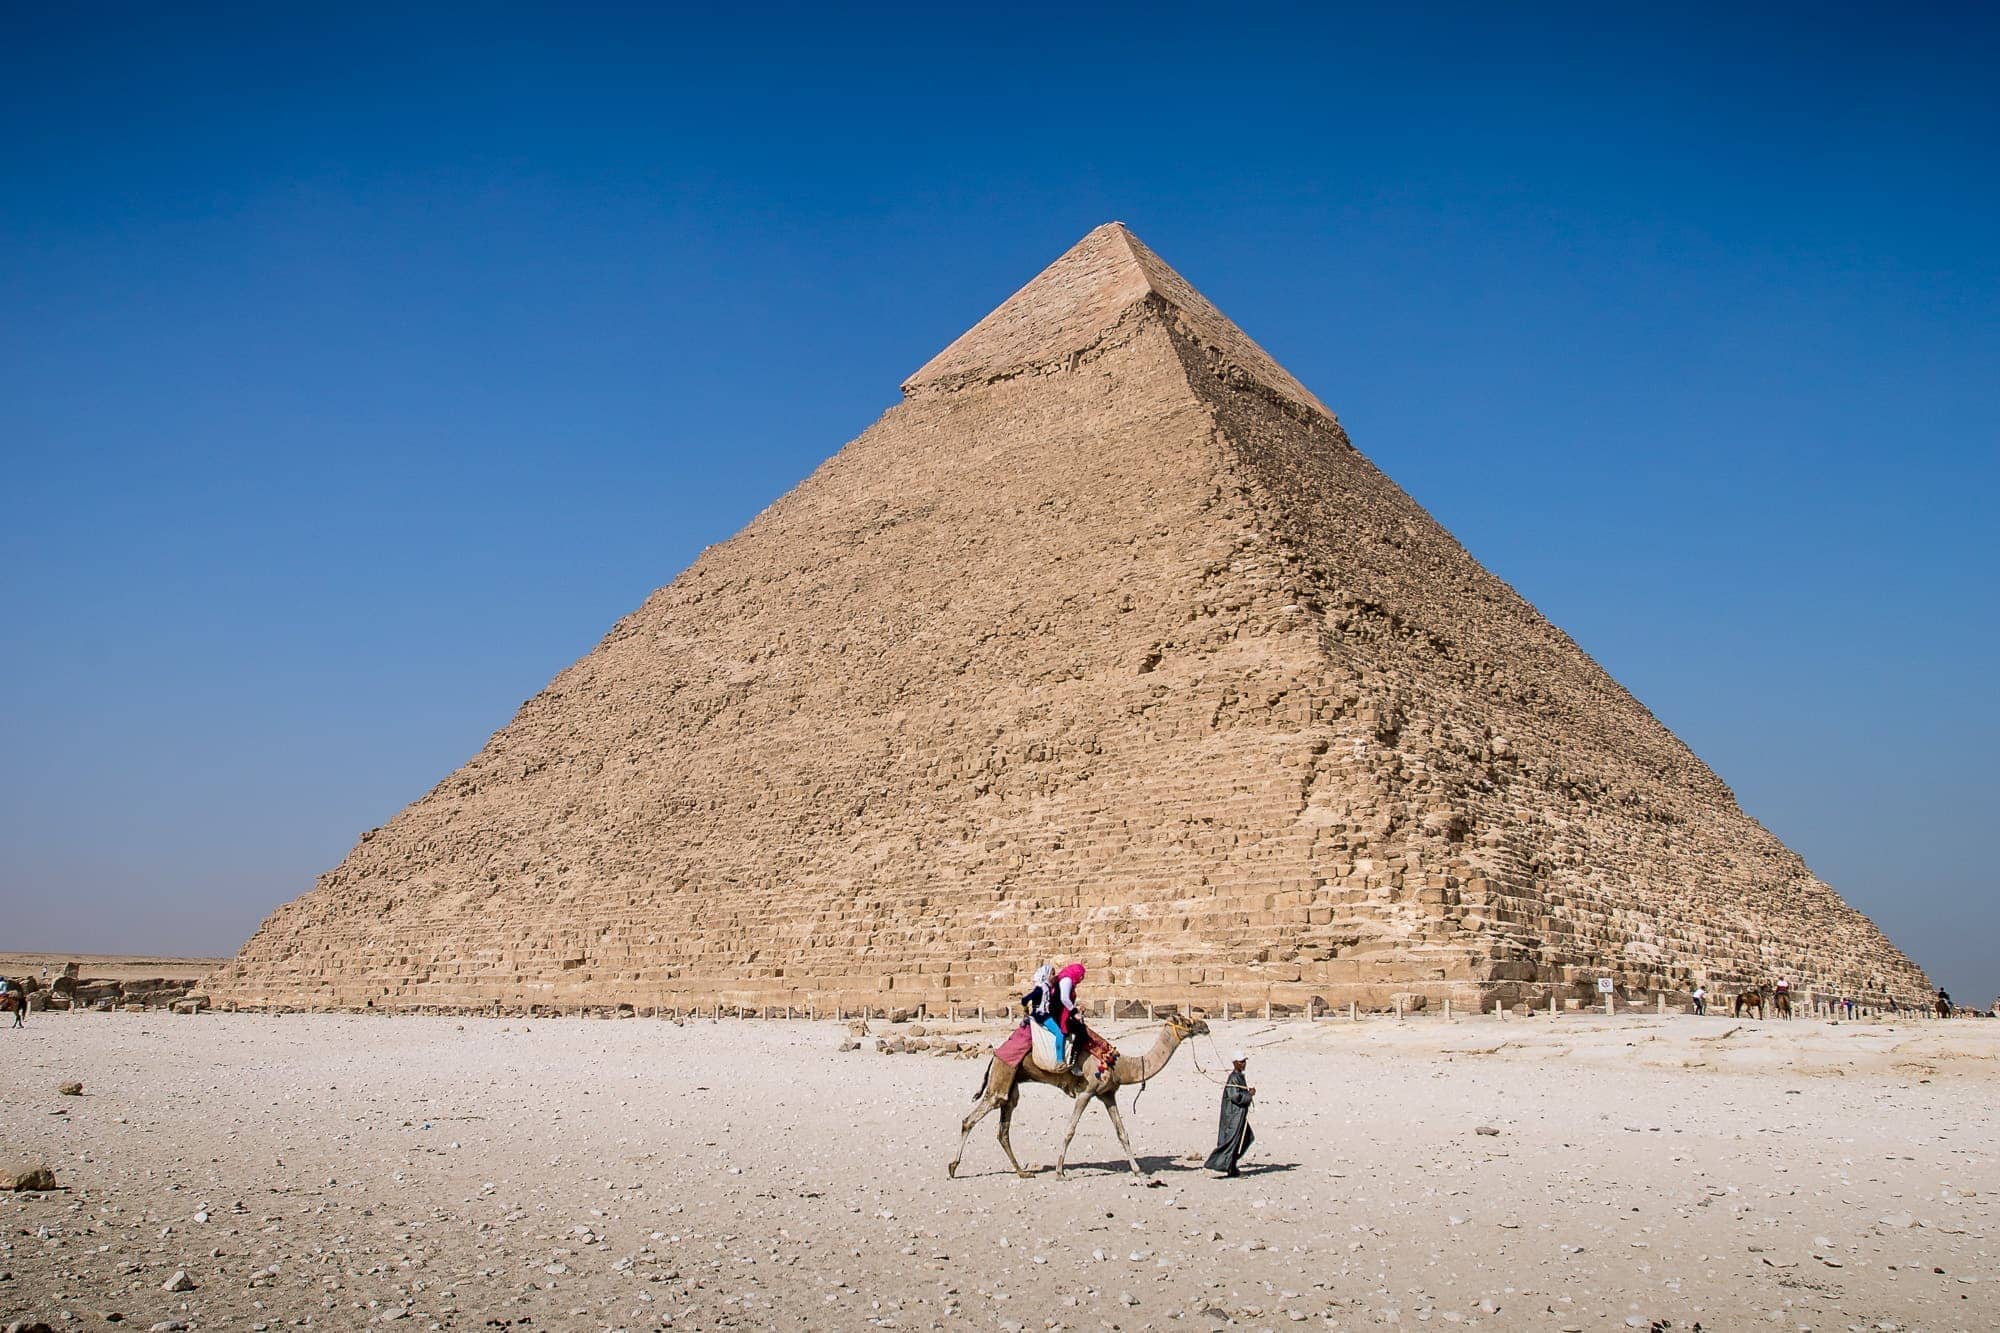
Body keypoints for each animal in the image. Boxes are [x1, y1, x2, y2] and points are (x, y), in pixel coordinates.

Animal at [948, 1008, 1208, 1176]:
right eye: (1186, 1021)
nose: (1205, 1026)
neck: (1121, 1065)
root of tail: (994, 1056)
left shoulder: (1108, 1095)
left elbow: (1122, 1132)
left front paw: (1137, 1170)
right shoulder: (1086, 1092)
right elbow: (1070, 1131)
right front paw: (1060, 1171)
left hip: (1011, 1085)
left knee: (1003, 1128)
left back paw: (1022, 1172)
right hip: (1003, 1075)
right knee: (971, 1118)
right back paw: (953, 1167)